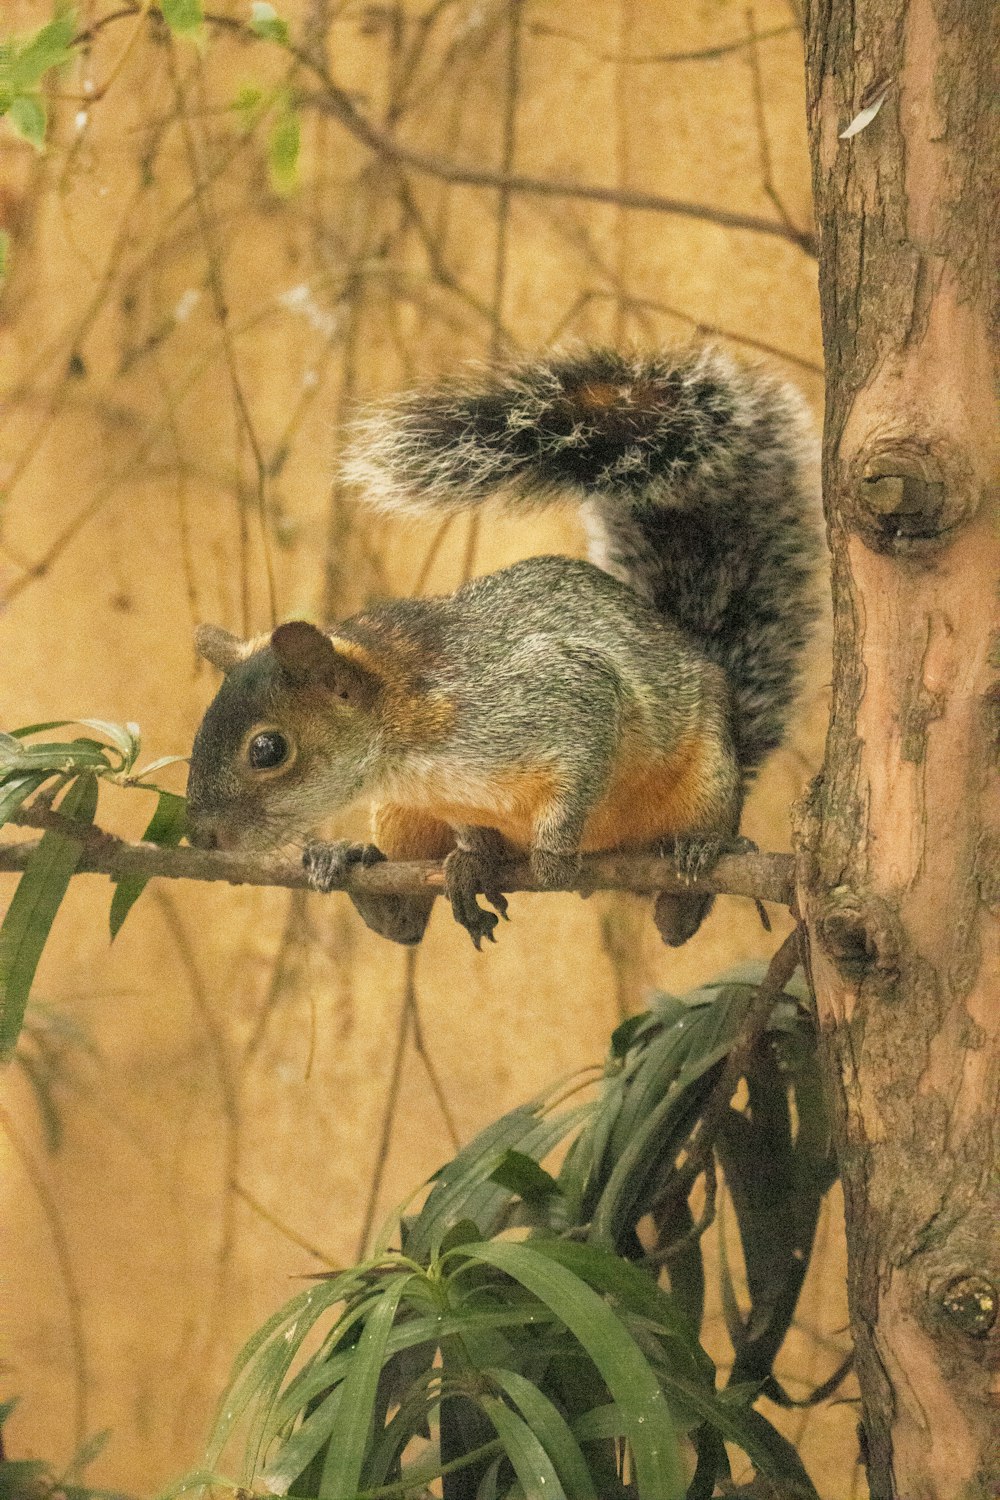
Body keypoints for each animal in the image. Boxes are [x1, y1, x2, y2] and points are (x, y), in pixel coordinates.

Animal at [185, 345, 821, 942]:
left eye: (268, 749)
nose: (201, 835)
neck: (410, 744)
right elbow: (470, 836)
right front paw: (473, 856)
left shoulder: (562, 693)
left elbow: (577, 772)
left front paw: (554, 853)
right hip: (399, 819)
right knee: (404, 923)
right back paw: (350, 860)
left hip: (706, 775)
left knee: (676, 918)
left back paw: (699, 855)